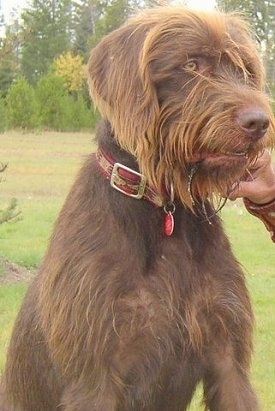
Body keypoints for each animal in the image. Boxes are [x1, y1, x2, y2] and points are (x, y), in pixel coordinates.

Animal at [1, 6, 274, 411]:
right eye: (191, 64)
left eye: (243, 69)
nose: (260, 122)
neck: (165, 212)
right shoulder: (95, 378)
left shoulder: (229, 358)